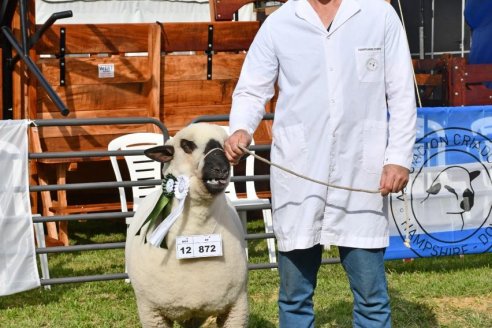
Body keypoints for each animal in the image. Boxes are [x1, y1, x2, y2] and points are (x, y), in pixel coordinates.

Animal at [125, 123, 248, 328]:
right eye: (186, 145)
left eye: (226, 146)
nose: (221, 169)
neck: (195, 230)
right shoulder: (151, 311)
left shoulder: (237, 306)